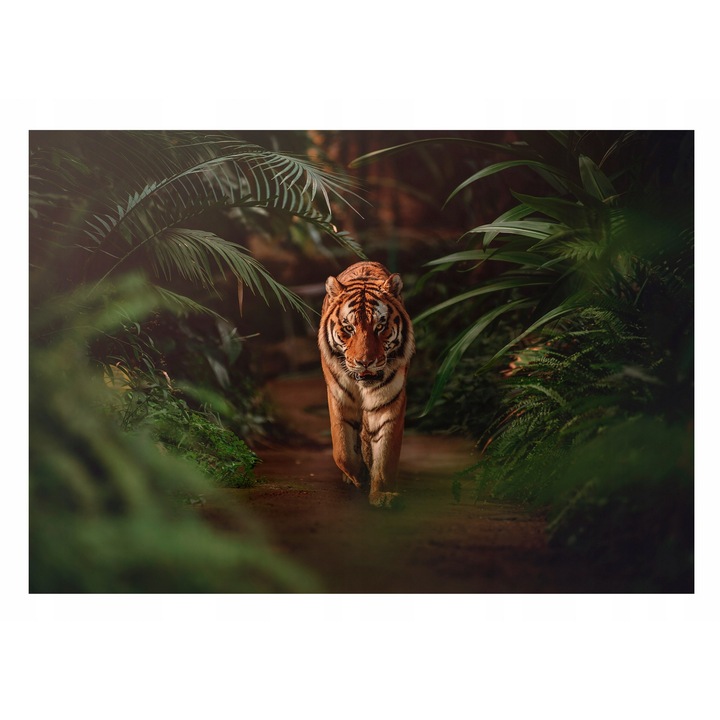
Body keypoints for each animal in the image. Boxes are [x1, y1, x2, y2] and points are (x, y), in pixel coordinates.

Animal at [318, 261, 415, 508]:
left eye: (380, 327)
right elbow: (342, 450)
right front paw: (359, 476)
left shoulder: (388, 402)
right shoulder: (339, 399)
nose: (365, 362)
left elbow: (386, 455)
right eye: (348, 328)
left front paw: (383, 494)